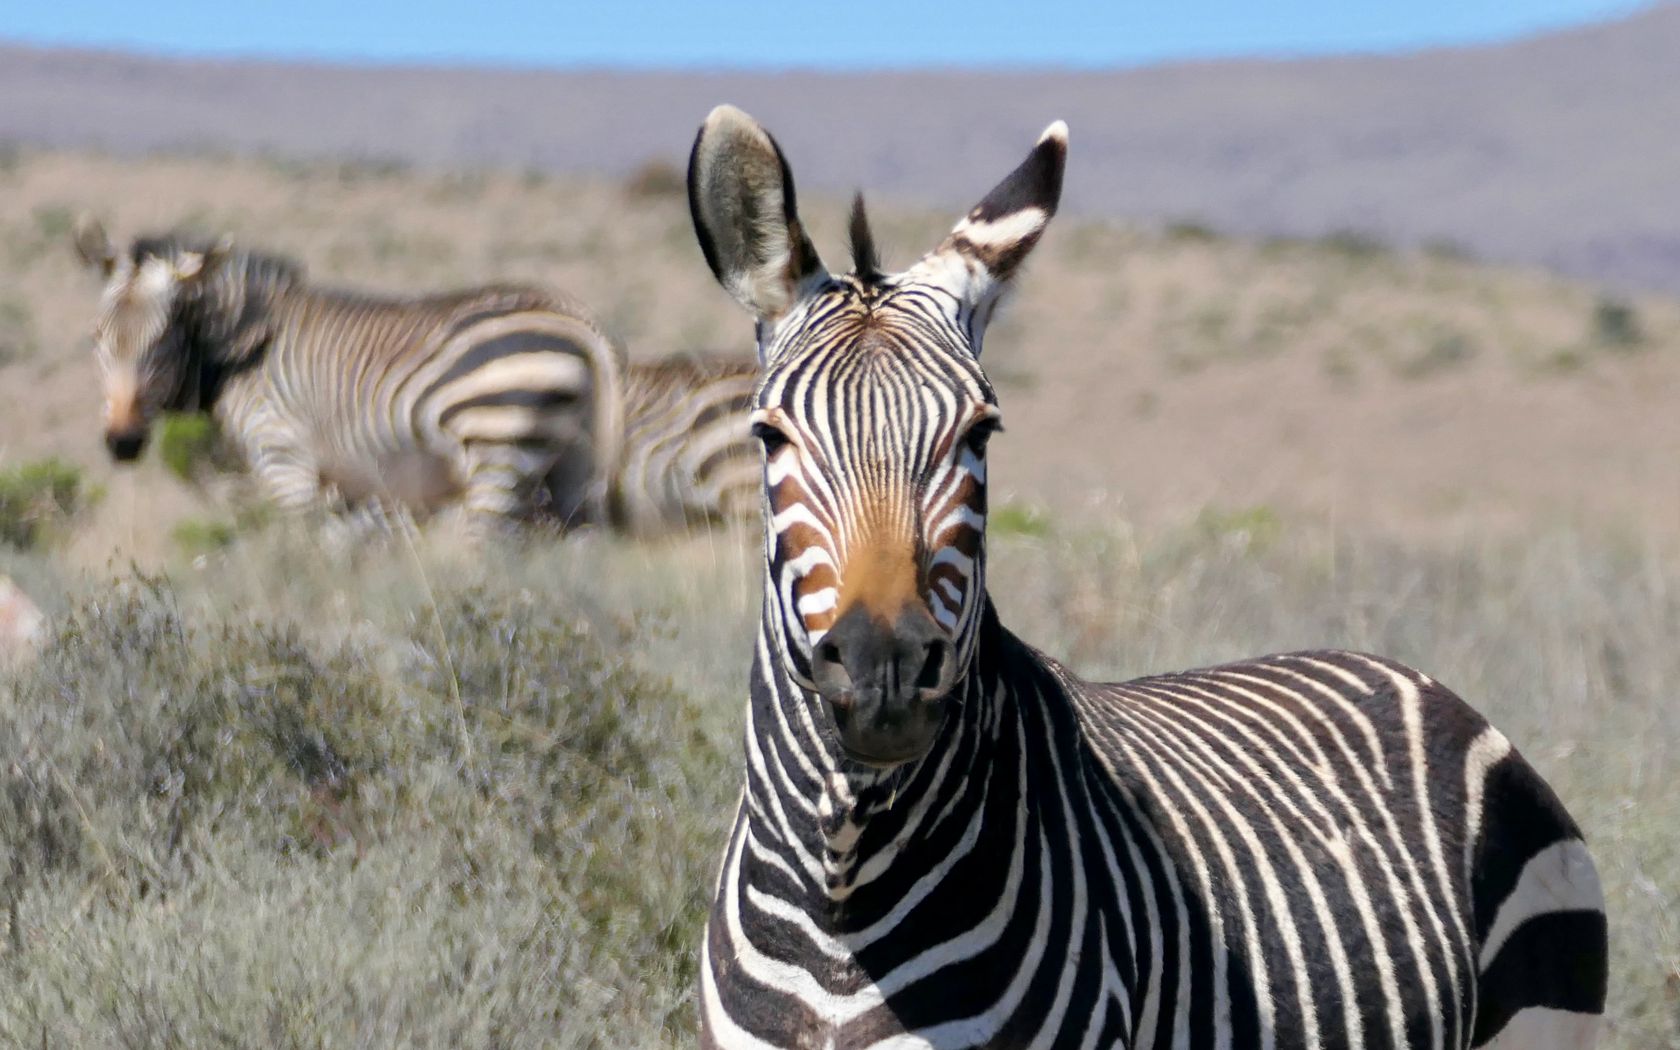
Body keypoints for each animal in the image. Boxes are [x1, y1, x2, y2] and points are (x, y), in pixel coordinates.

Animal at [70, 219, 622, 529]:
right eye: (96, 338)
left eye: (164, 340)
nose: (121, 443)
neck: (241, 354)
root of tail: (582, 322)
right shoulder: (346, 485)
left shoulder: (284, 462)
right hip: (572, 472)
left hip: (498, 451)